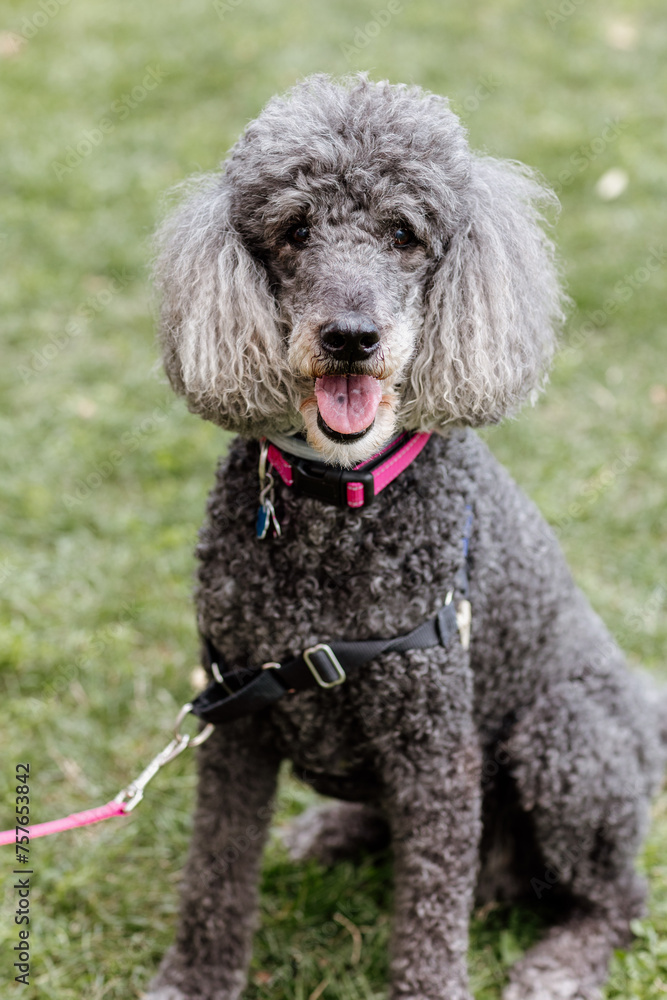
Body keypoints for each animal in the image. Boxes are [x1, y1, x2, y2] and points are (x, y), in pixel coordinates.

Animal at [147, 74, 667, 996]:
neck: (340, 504)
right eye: (295, 230)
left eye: (402, 233)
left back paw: (561, 961)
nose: (350, 337)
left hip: (566, 739)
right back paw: (332, 832)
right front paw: (193, 979)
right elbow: (214, 869)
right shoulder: (236, 717)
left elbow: (429, 912)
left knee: (618, 896)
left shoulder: (434, 750)